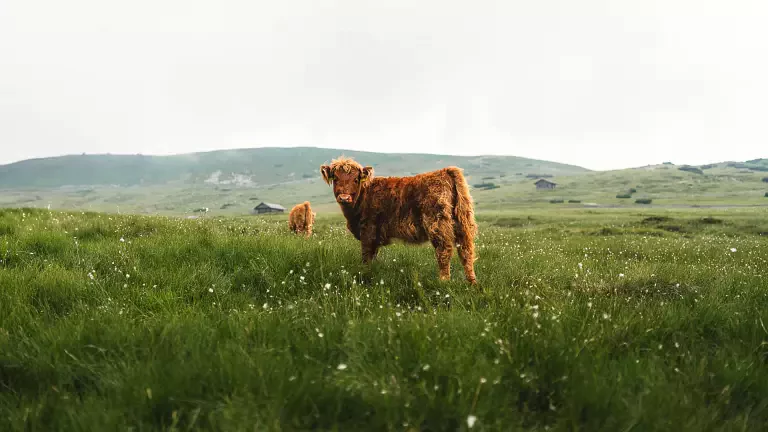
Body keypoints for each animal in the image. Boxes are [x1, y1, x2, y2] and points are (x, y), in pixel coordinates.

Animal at [320, 156, 478, 285]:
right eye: (335, 178)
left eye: (355, 179)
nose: (344, 197)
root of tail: (445, 171)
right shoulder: (375, 236)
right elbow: (373, 256)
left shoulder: (368, 230)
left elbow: (366, 256)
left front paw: (365, 274)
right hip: (462, 223)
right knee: (466, 251)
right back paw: (472, 283)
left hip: (437, 223)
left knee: (444, 250)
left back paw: (443, 281)